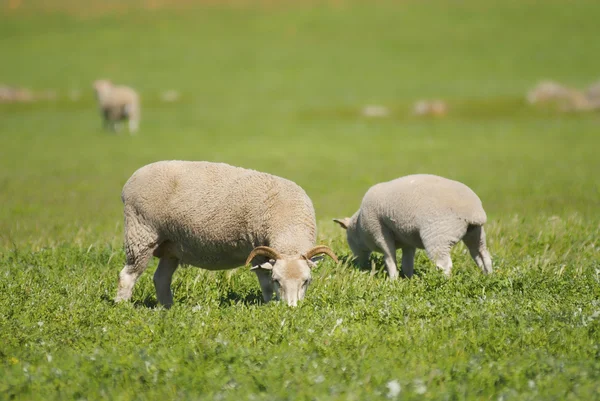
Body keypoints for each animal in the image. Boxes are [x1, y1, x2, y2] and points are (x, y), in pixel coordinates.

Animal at [113, 159, 338, 306]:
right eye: (277, 280)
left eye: (307, 281)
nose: (291, 309)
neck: (288, 228)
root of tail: (131, 180)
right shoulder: (257, 251)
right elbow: (264, 283)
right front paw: (269, 306)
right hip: (141, 233)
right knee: (128, 275)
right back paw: (122, 307)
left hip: (171, 245)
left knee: (161, 279)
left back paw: (168, 309)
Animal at [332, 173, 492, 280]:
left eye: (349, 240)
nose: (358, 265)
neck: (360, 228)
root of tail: (474, 212)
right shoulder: (407, 241)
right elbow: (407, 262)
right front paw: (408, 279)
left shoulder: (379, 233)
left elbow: (389, 258)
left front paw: (393, 280)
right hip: (475, 232)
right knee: (481, 254)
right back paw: (488, 276)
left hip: (438, 236)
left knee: (444, 264)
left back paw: (443, 283)